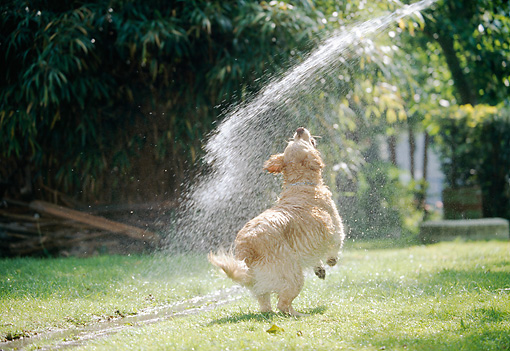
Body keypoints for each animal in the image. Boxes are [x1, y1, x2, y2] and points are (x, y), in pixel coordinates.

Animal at [208, 128, 346, 318]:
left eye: (294, 140)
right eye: (302, 141)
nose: (300, 129)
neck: (300, 184)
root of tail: (247, 249)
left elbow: (315, 257)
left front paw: (319, 268)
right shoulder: (335, 230)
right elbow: (335, 246)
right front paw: (331, 261)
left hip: (260, 287)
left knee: (266, 307)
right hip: (294, 276)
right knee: (283, 305)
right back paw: (300, 315)